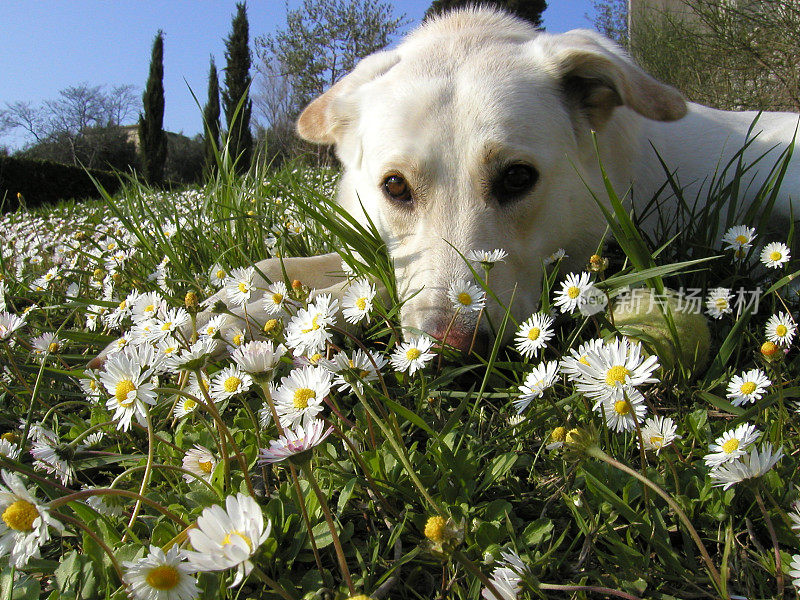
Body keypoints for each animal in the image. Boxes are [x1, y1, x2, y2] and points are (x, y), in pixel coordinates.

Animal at [90, 8, 796, 366]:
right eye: (395, 187)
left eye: (517, 178)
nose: (453, 348)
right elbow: (282, 266)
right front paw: (215, 304)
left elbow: (348, 291)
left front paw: (237, 318)